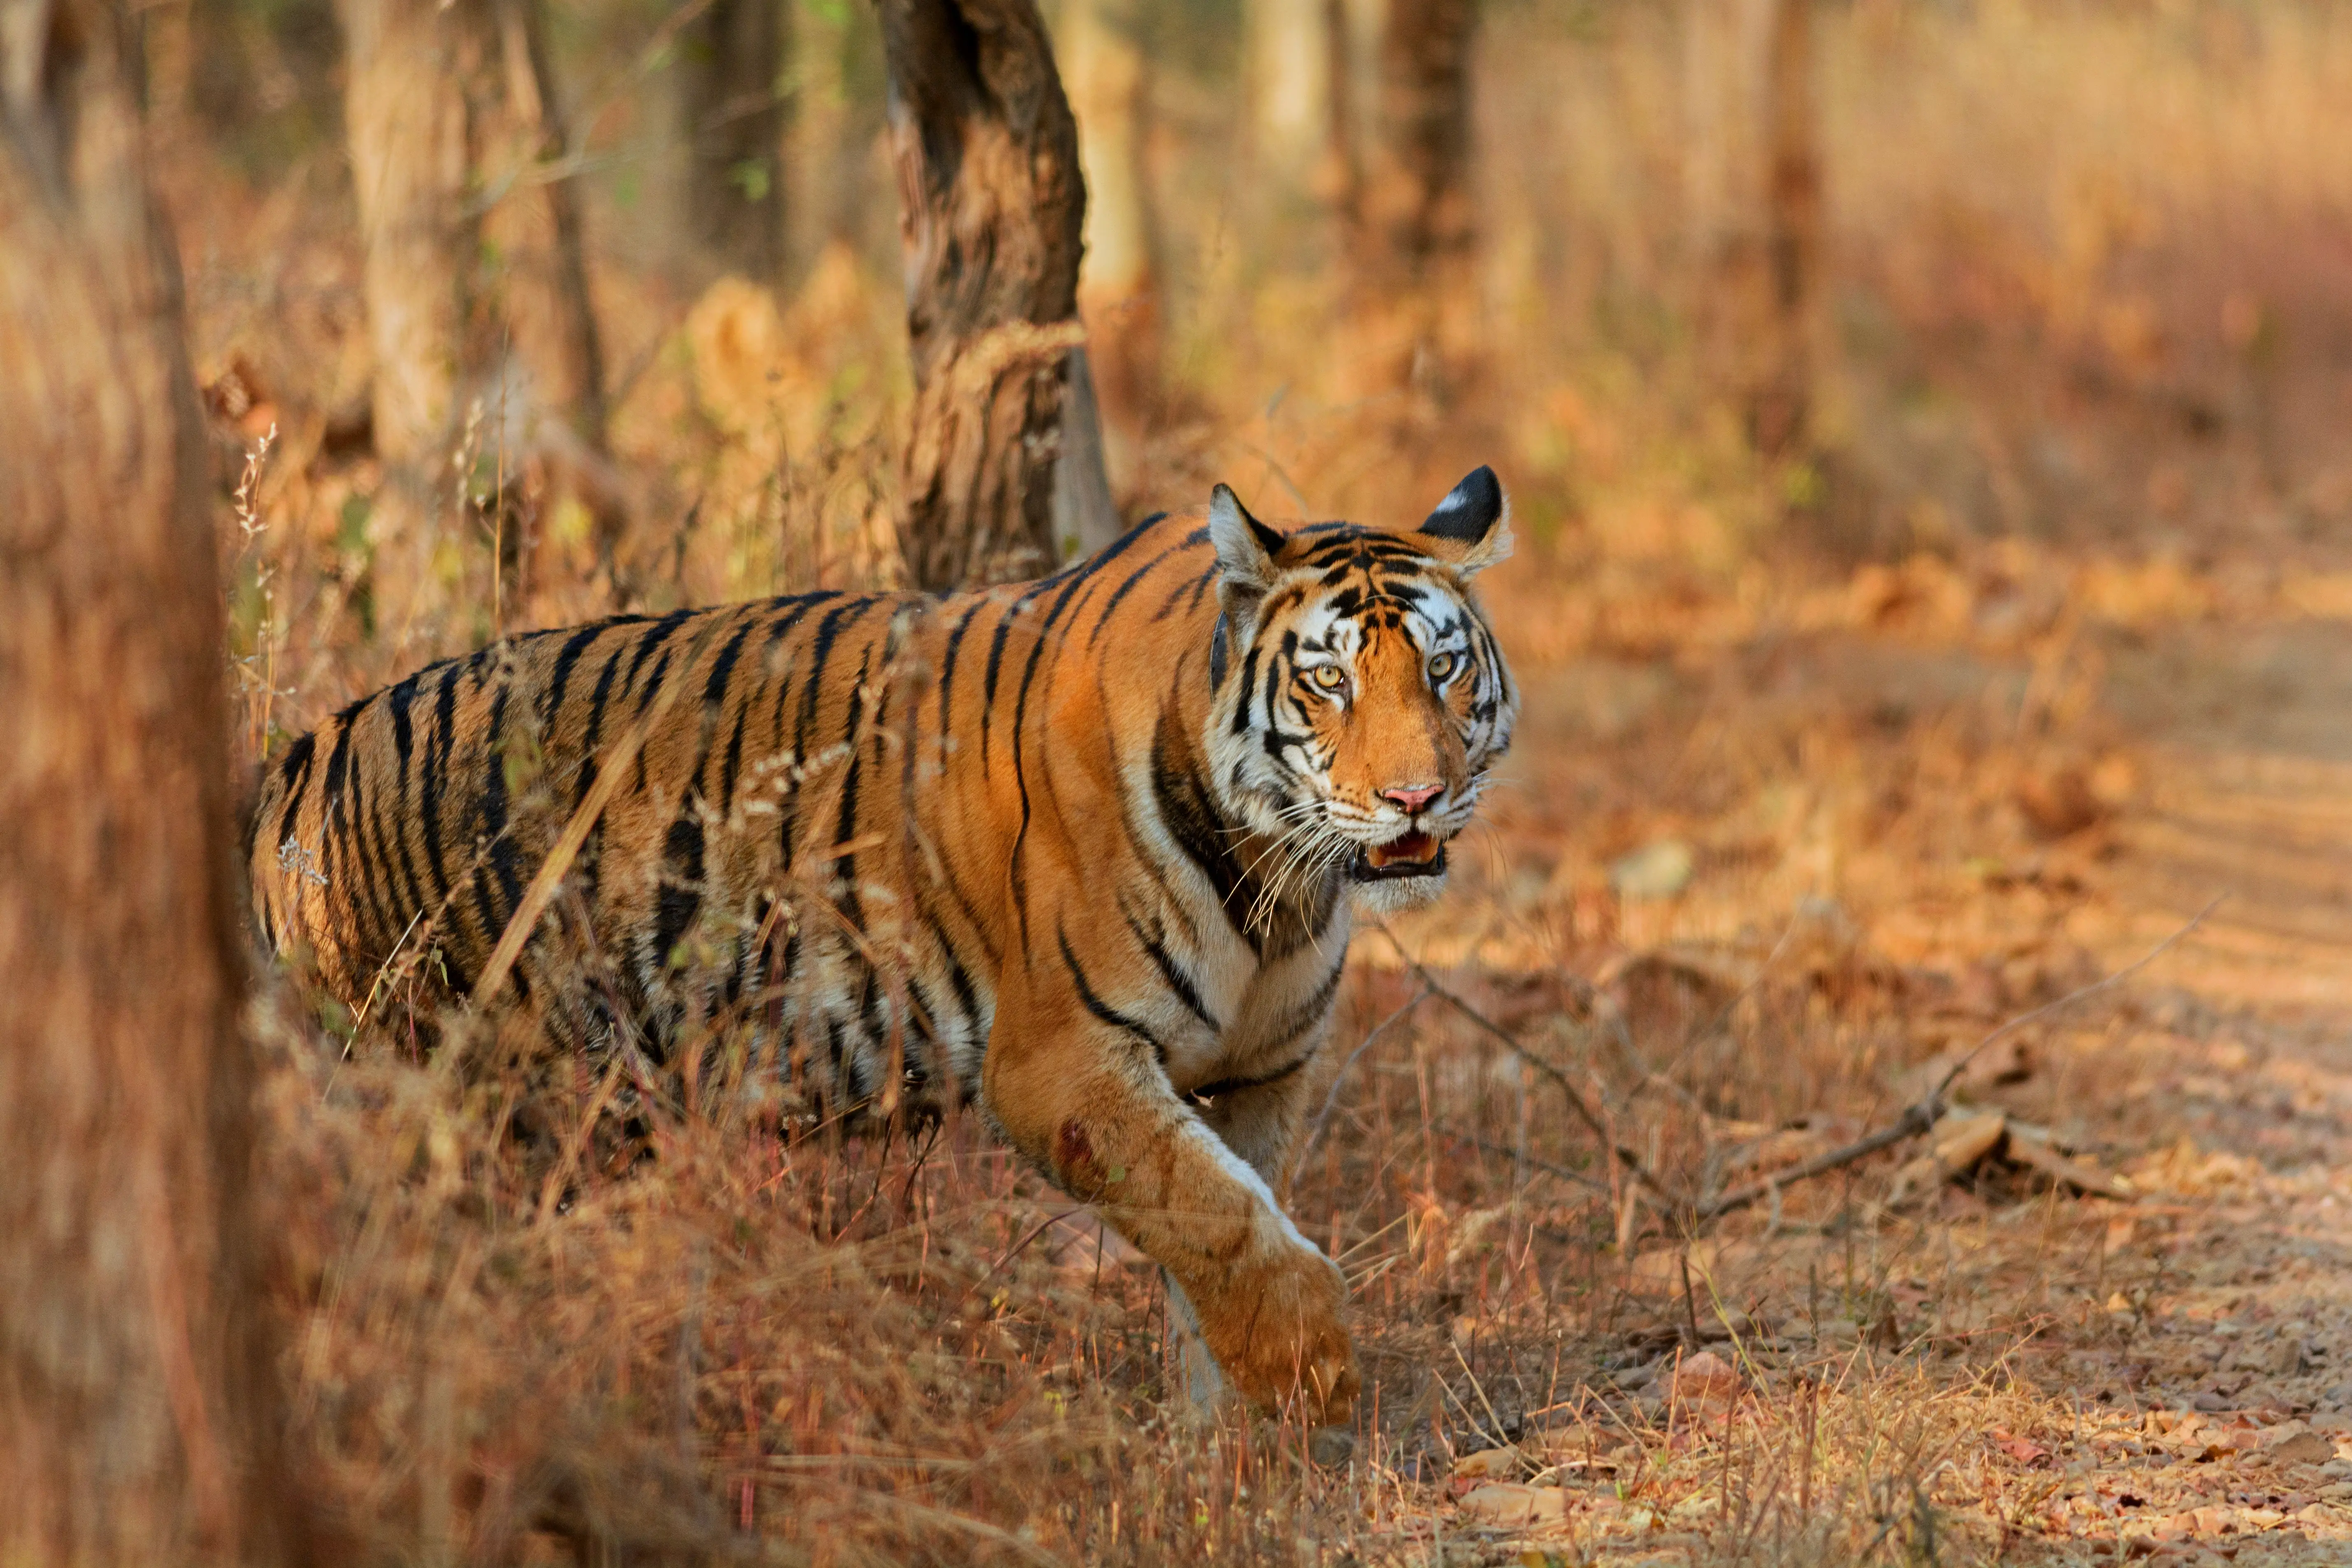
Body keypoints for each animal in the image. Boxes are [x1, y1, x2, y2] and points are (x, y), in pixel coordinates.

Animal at [248, 466, 1520, 1433]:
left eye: (1442, 667)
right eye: (1328, 679)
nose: (1416, 799)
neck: (1277, 880)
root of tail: (291, 766)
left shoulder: (1258, 1076)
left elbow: (1222, 1235)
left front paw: (1231, 1448)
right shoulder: (1060, 1065)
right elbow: (1222, 1222)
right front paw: (1314, 1380)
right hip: (449, 1096)